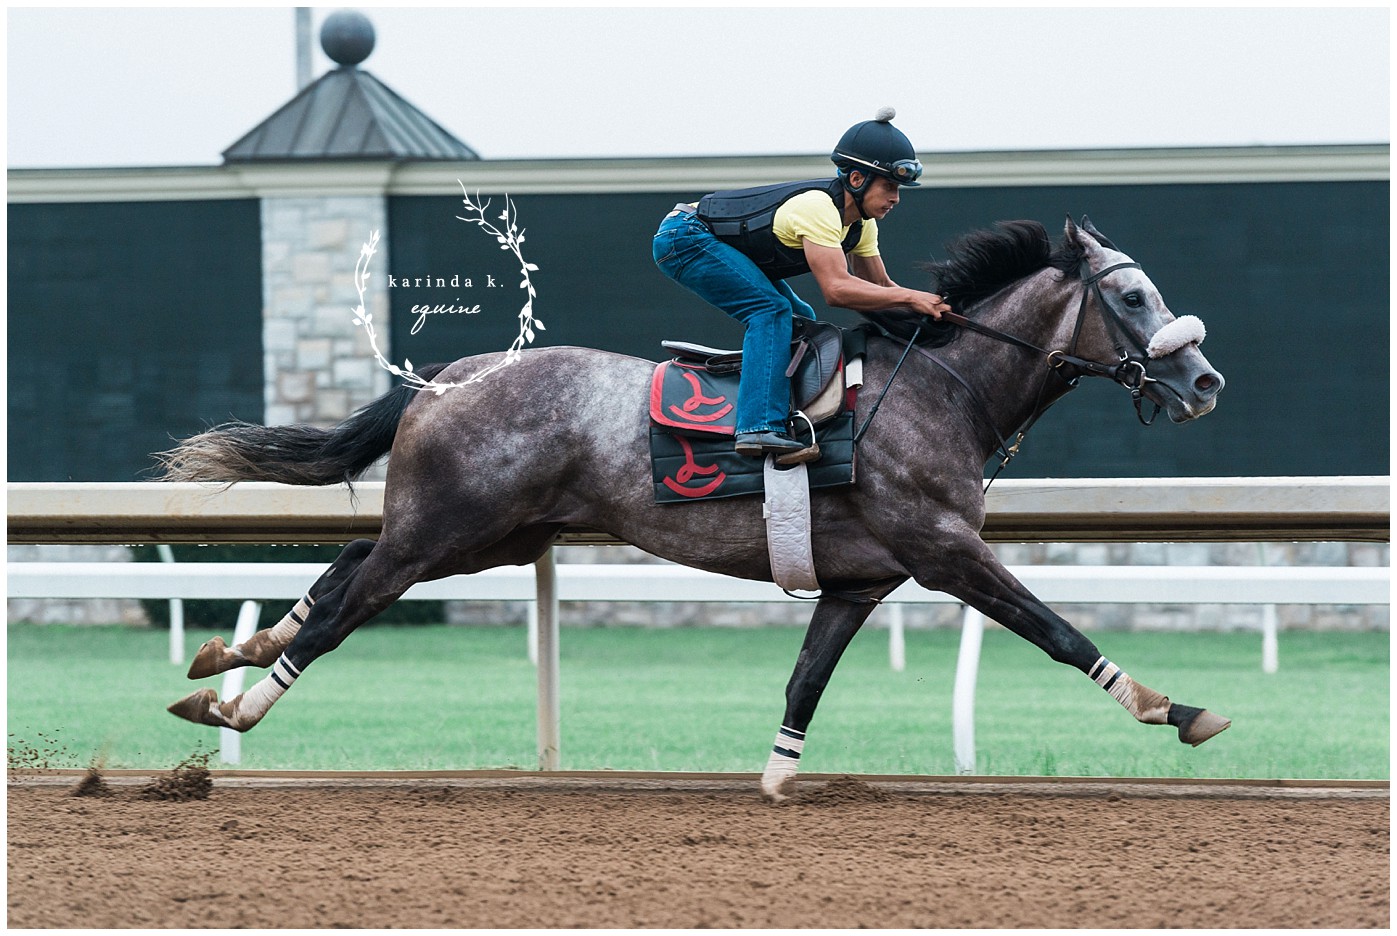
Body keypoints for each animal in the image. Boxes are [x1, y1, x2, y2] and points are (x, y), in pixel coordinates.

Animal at [161, 216, 1229, 800]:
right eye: (1133, 297)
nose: (1205, 381)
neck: (939, 389)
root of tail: (449, 376)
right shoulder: (943, 548)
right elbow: (1053, 628)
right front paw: (1173, 708)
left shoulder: (860, 581)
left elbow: (805, 682)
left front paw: (778, 776)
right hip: (451, 529)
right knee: (345, 607)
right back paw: (238, 701)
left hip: (486, 536)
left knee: (346, 567)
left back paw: (224, 656)